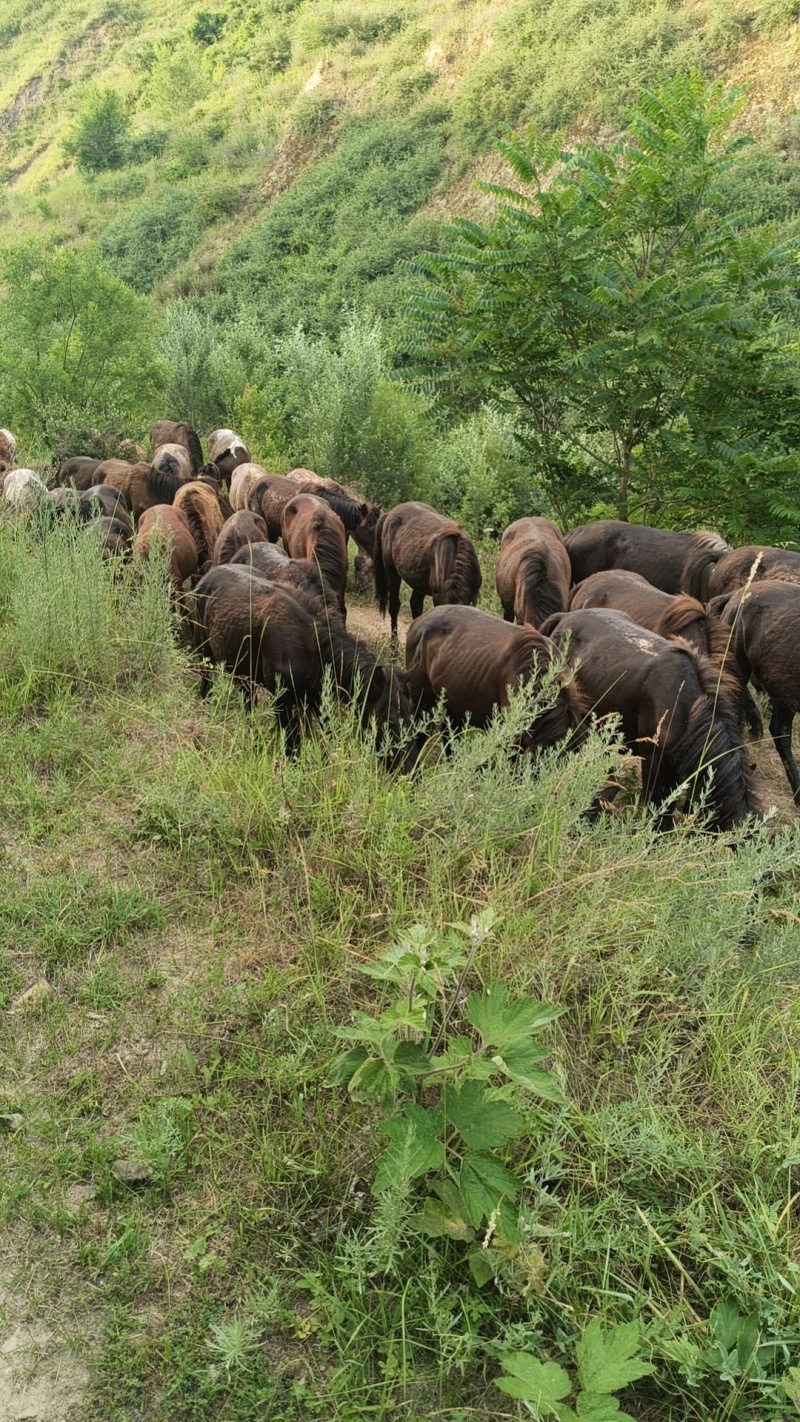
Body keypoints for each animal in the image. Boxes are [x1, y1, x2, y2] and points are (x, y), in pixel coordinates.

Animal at [189, 564, 413, 761]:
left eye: (411, 718)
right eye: (391, 722)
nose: (407, 768)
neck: (309, 645)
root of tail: (207, 575)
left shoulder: (316, 698)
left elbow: (329, 733)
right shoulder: (283, 703)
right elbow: (292, 747)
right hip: (205, 655)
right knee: (207, 685)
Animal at [373, 502, 482, 640]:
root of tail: (389, 514)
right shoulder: (437, 597)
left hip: (418, 583)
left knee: (415, 606)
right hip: (393, 573)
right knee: (394, 606)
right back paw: (394, 644)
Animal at [541, 608, 759, 830]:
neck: (685, 705)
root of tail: (565, 616)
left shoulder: (675, 768)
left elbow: (669, 806)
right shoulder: (652, 761)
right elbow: (655, 803)